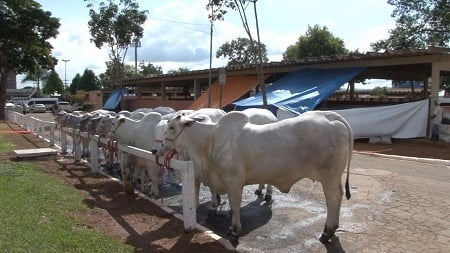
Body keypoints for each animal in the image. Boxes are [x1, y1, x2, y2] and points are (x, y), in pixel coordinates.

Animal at [163, 109, 354, 242]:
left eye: (171, 127)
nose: (161, 145)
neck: (209, 141)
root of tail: (330, 116)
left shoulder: (234, 182)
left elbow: (235, 205)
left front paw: (234, 230)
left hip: (329, 176)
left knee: (332, 199)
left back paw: (327, 232)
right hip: (335, 177)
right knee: (339, 196)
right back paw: (333, 229)